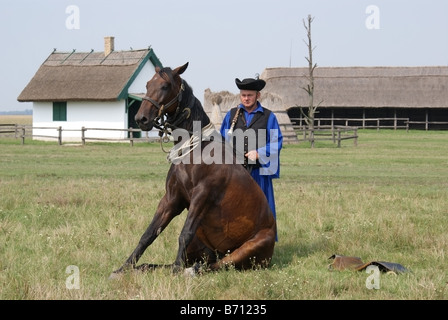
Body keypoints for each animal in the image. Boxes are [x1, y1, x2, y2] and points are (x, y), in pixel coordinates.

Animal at [109, 62, 276, 278]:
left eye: (165, 86)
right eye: (147, 84)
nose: (141, 118)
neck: (196, 152)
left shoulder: (202, 196)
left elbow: (184, 233)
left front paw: (177, 271)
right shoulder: (172, 199)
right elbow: (149, 234)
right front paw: (124, 268)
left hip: (245, 250)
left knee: (216, 265)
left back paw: (188, 270)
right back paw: (146, 267)